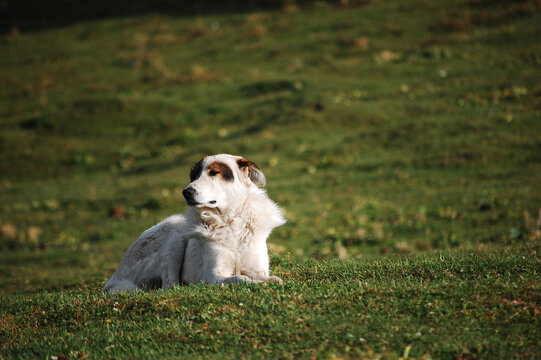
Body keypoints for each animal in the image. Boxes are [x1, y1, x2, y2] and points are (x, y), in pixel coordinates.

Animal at [103, 154, 284, 292]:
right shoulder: (213, 276)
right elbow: (240, 278)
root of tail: (115, 275)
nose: (186, 192)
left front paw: (271, 280)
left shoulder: (257, 268)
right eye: (194, 176)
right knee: (168, 285)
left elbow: (268, 277)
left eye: (214, 172)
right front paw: (256, 283)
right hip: (175, 232)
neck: (232, 222)